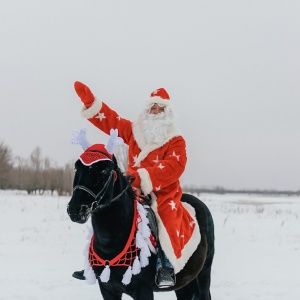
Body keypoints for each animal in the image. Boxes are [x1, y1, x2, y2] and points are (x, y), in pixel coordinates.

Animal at [67, 147, 214, 300]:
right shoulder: (107, 289)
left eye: (104, 171)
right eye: (77, 168)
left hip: (204, 273)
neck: (111, 244)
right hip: (183, 282)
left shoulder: (143, 290)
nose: (76, 209)